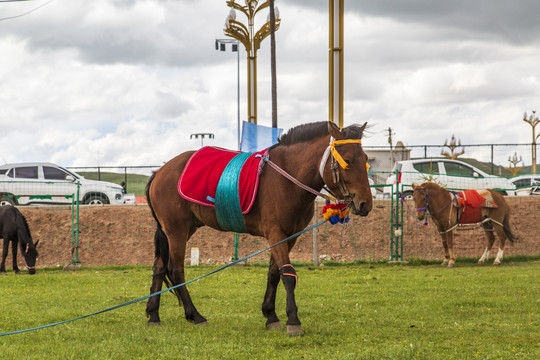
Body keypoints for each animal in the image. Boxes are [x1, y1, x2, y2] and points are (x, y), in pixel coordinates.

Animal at [143, 121, 372, 334]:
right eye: (347, 162)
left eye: (366, 160)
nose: (365, 204)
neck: (287, 178)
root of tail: (159, 171)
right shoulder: (275, 233)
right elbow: (287, 274)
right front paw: (293, 321)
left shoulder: (290, 236)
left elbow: (274, 274)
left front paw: (271, 315)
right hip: (177, 231)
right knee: (175, 269)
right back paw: (194, 315)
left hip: (181, 230)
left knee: (159, 267)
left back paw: (154, 314)